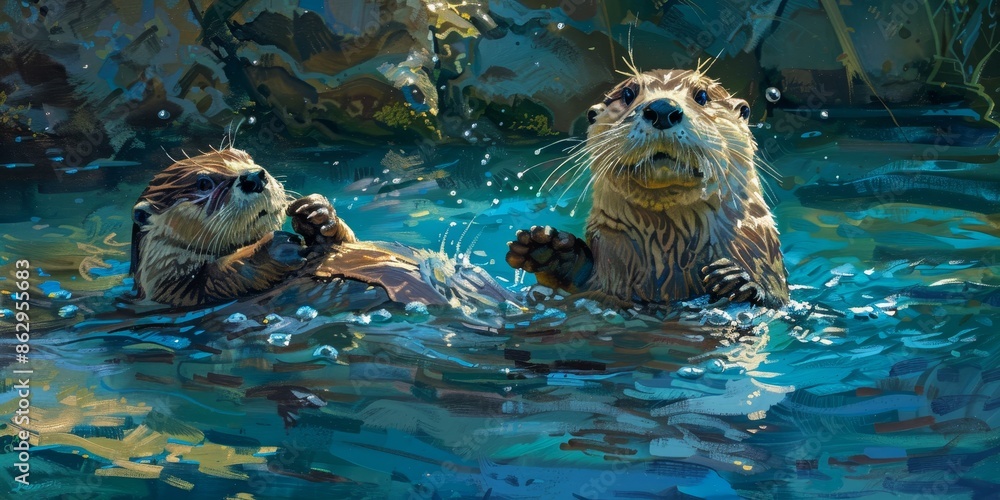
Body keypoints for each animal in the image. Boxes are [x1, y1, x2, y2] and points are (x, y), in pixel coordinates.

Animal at [130, 148, 513, 310]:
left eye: (245, 156)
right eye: (204, 183)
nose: (255, 176)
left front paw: (316, 214)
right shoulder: (178, 292)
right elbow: (216, 278)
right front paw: (276, 248)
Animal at [506, 69, 789, 308]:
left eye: (702, 96)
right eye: (628, 94)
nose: (663, 108)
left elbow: (778, 299)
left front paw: (739, 282)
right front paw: (548, 251)